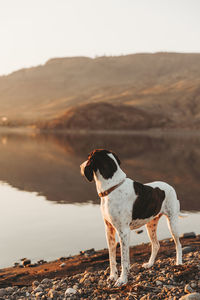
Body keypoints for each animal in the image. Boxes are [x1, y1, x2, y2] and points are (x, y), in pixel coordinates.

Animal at [79, 149, 186, 286]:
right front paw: (113, 276)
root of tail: (170, 186)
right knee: (156, 245)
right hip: (151, 225)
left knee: (178, 244)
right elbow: (111, 258)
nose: (80, 166)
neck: (112, 187)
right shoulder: (109, 230)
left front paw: (122, 280)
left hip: (172, 223)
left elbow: (124, 260)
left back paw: (178, 263)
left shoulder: (124, 232)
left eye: (88, 157)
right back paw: (150, 264)